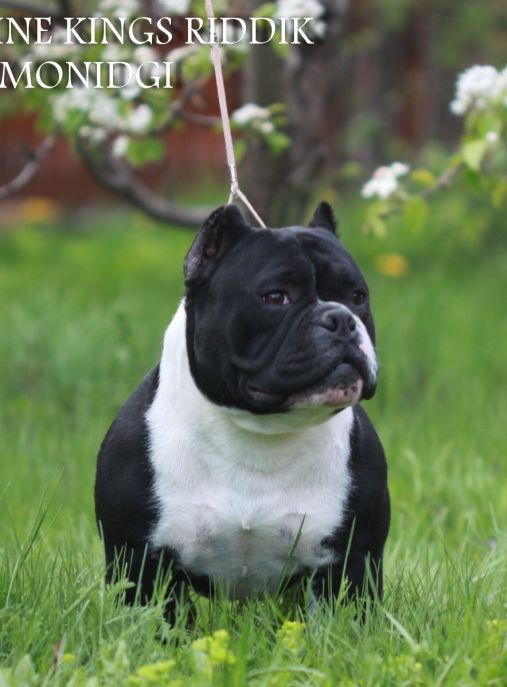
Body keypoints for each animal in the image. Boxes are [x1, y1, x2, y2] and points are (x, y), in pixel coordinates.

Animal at [95, 201, 390, 619]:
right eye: (276, 297)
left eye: (358, 296)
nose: (342, 318)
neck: (260, 433)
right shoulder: (141, 563)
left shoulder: (352, 561)